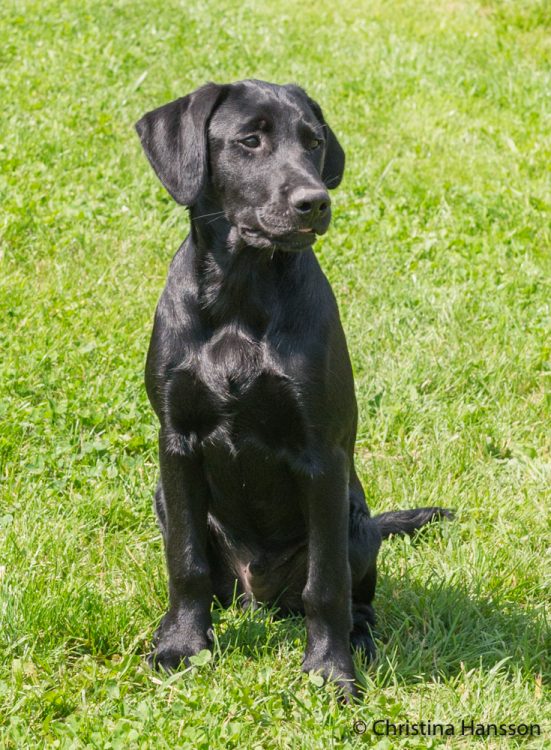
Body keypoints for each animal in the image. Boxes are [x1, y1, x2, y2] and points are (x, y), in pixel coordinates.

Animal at [136, 81, 450, 700]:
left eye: (313, 142)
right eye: (249, 140)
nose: (315, 202)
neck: (241, 294)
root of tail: (260, 597)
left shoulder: (321, 454)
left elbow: (325, 586)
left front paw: (329, 672)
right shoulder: (176, 440)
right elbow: (185, 563)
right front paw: (181, 646)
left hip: (356, 521)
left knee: (352, 596)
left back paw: (359, 640)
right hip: (165, 497)